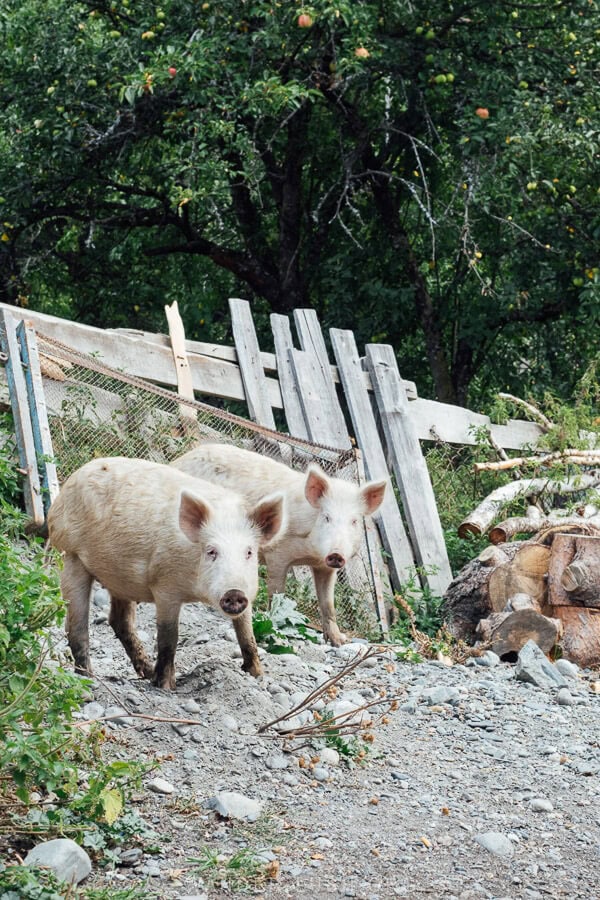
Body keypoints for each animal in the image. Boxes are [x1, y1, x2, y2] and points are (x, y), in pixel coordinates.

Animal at [47, 458, 284, 688]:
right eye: (211, 551)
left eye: (249, 552)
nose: (234, 593)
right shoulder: (164, 586)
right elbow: (169, 636)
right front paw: (166, 686)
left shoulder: (249, 590)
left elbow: (247, 633)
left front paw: (257, 675)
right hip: (70, 556)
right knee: (76, 626)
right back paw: (89, 679)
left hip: (120, 579)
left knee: (119, 621)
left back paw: (146, 672)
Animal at [170, 444, 384, 648]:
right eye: (326, 517)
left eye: (354, 521)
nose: (336, 554)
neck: (309, 554)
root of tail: (179, 460)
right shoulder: (278, 554)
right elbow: (277, 593)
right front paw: (277, 626)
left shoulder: (324, 567)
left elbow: (328, 603)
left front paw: (340, 641)